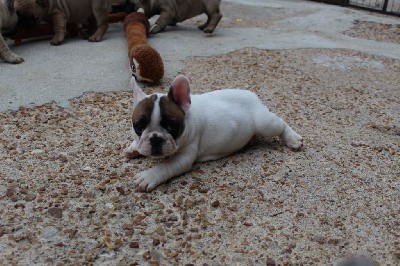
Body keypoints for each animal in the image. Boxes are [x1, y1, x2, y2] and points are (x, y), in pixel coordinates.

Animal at [125, 75, 304, 191]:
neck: (188, 117)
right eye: (139, 126)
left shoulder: (184, 157)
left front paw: (148, 176)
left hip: (265, 123)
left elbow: (166, 166)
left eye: (172, 126)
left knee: (281, 125)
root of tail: (254, 96)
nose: (155, 138)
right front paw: (133, 148)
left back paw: (293, 139)